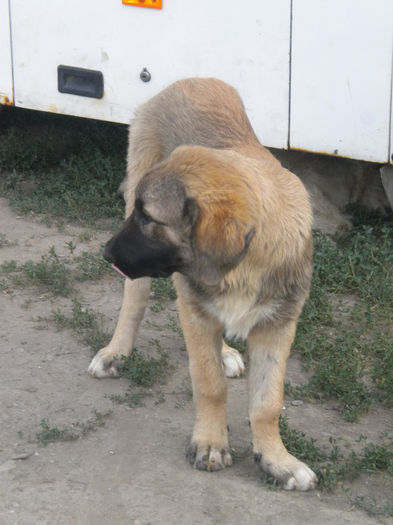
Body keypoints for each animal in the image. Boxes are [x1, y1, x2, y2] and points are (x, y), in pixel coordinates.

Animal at [87, 78, 314, 492]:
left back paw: (223, 351)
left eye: (149, 218)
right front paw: (210, 443)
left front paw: (277, 460)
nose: (106, 252)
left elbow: (267, 402)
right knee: (135, 295)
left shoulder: (278, 323)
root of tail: (190, 80)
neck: (243, 265)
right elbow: (209, 383)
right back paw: (116, 351)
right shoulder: (193, 305)